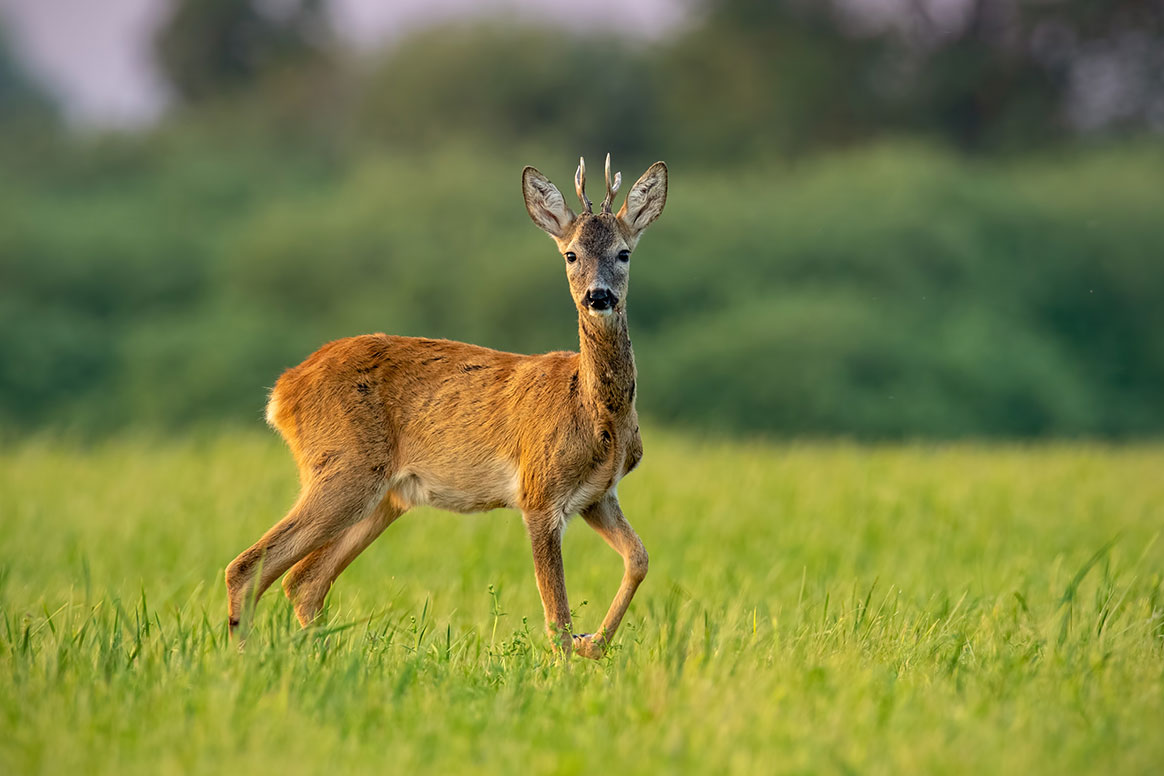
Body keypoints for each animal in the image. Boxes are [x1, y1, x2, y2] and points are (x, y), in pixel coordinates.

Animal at [225, 154, 665, 660]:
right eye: (571, 254)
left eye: (624, 252)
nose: (599, 296)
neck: (598, 415)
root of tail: (283, 391)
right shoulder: (538, 491)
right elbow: (556, 615)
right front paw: (573, 657)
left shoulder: (597, 494)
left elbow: (639, 558)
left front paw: (593, 643)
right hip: (344, 468)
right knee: (248, 567)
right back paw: (243, 662)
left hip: (385, 495)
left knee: (304, 581)